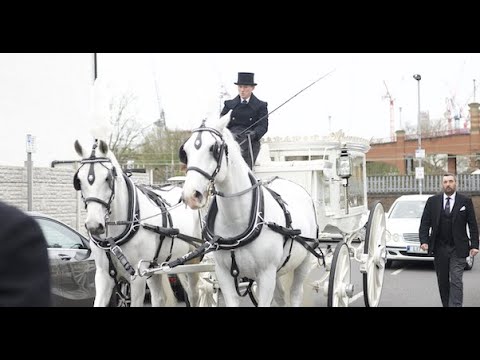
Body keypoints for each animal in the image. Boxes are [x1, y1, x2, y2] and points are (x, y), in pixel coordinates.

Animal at [75, 139, 202, 308]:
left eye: (107, 178)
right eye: (79, 180)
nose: (94, 226)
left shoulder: (137, 276)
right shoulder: (104, 275)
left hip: (191, 261)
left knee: (193, 294)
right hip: (156, 268)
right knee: (159, 298)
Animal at [180, 112, 318, 306]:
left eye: (213, 148)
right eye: (185, 151)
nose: (191, 195)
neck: (236, 221)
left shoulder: (266, 275)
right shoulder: (224, 275)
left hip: (303, 262)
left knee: (295, 293)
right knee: (281, 297)